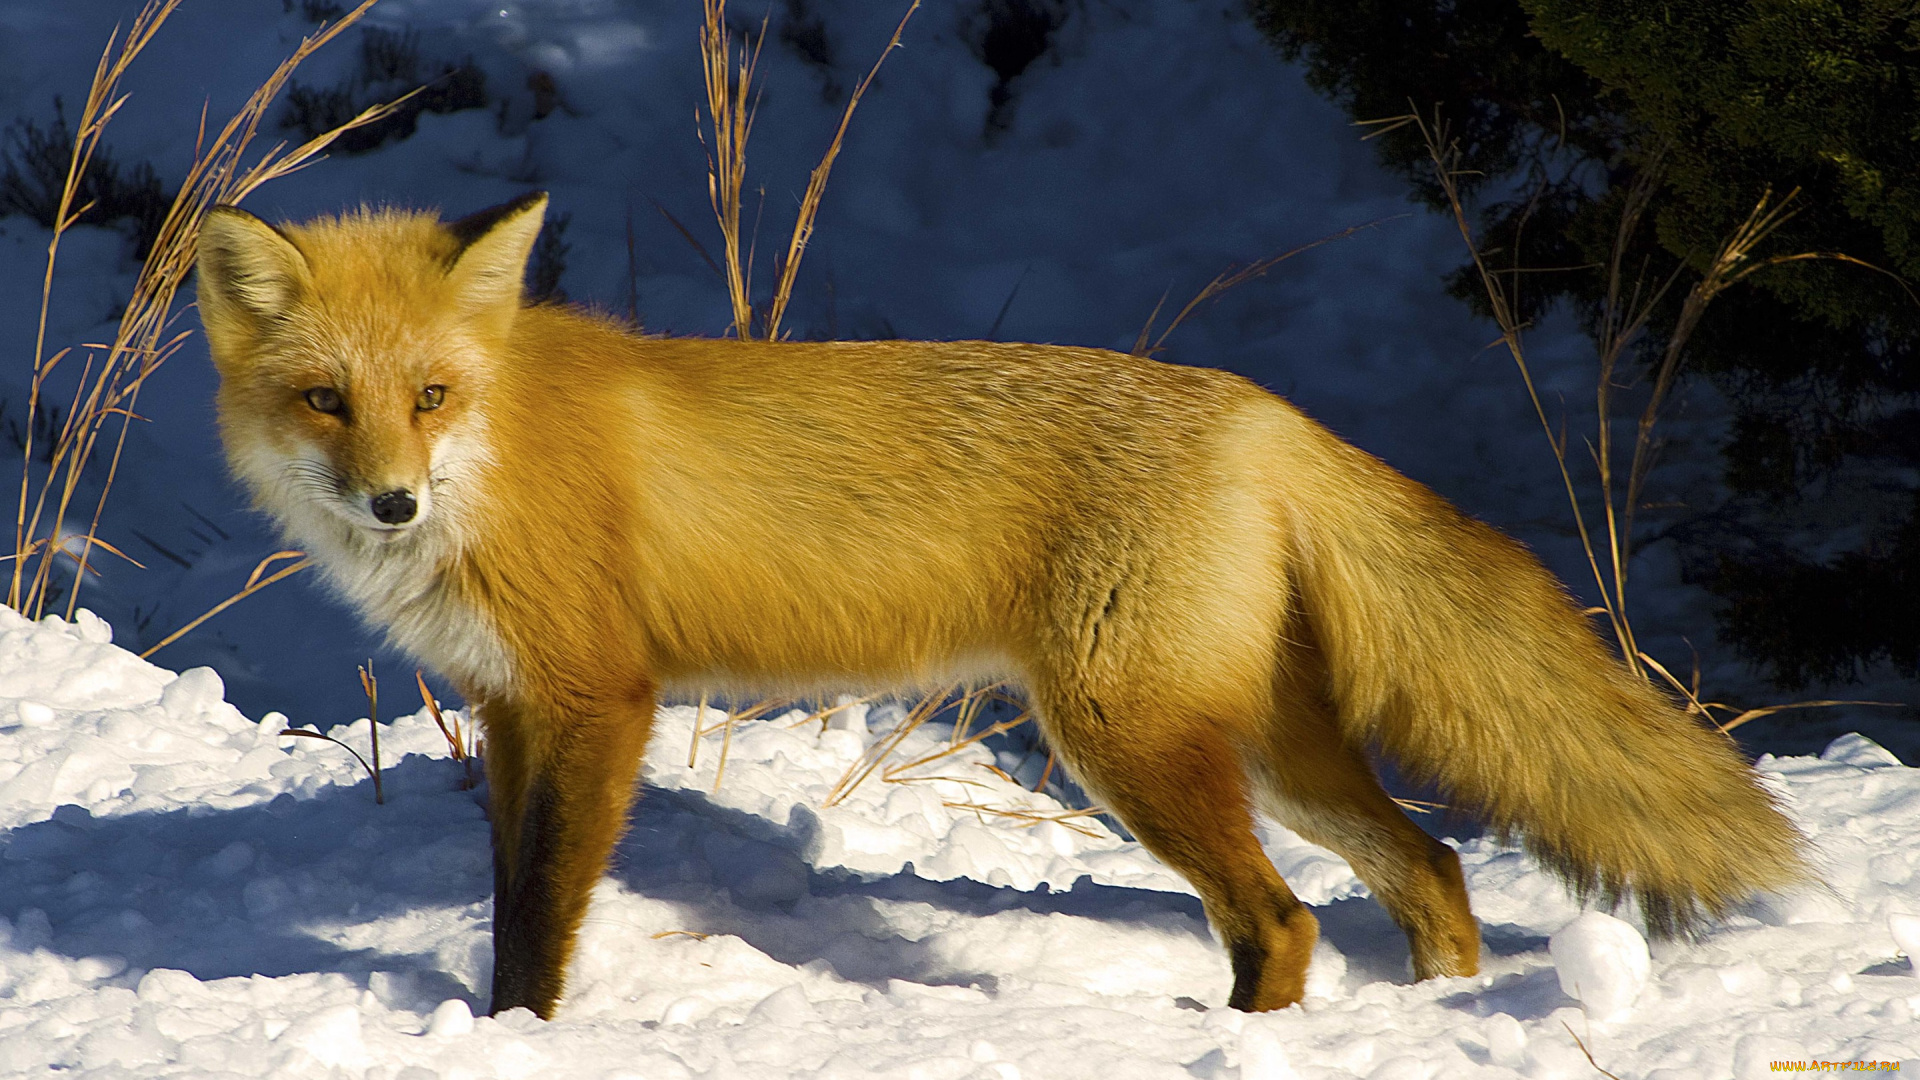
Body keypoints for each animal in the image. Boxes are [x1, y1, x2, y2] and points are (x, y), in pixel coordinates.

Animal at [202, 195, 1804, 1014]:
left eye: (430, 397)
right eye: (327, 402)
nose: (392, 504)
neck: (502, 458)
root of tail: (1258, 409)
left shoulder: (602, 701)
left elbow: (542, 917)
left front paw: (520, 1036)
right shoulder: (515, 706)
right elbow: (501, 903)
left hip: (1125, 738)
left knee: (1284, 923)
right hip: (1266, 747)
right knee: (1435, 869)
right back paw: (1430, 1024)